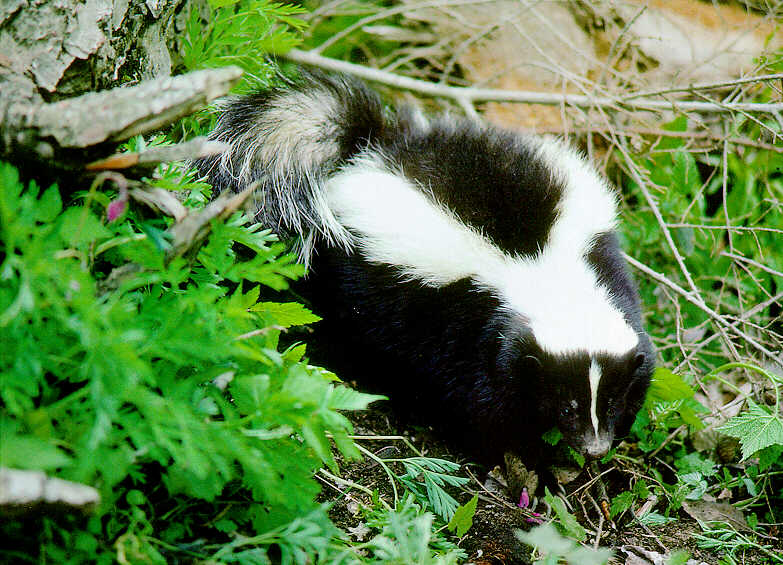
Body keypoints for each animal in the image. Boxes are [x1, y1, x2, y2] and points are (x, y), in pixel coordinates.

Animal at [198, 72, 656, 464]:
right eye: (566, 404)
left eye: (609, 401)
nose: (594, 447)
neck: (545, 272)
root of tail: (375, 147)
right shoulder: (472, 325)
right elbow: (484, 403)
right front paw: (526, 461)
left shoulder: (605, 272)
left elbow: (643, 363)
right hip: (363, 283)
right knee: (358, 335)